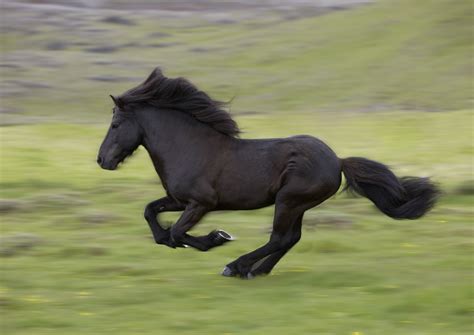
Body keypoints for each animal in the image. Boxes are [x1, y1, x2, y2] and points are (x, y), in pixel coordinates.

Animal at [98, 67, 438, 280]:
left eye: (115, 124)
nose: (102, 160)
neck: (190, 147)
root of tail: (338, 160)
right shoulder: (178, 199)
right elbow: (152, 215)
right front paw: (177, 241)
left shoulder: (201, 203)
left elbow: (178, 233)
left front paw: (217, 238)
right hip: (296, 205)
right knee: (291, 238)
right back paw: (256, 270)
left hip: (289, 200)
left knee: (279, 238)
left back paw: (236, 267)